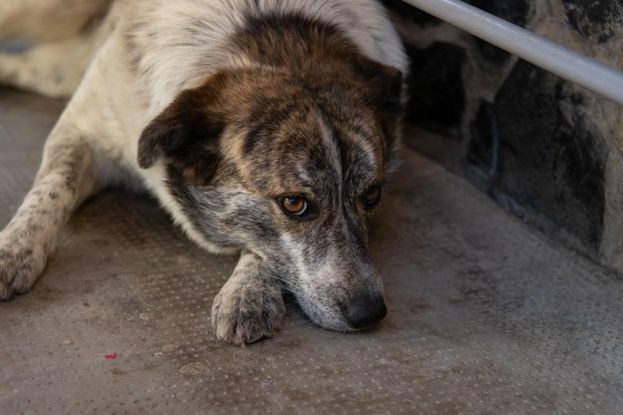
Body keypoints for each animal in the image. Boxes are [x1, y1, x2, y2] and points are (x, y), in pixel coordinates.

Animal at [0, 0, 408, 344]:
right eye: (294, 203)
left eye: (373, 196)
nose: (370, 313)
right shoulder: (81, 131)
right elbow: (53, 187)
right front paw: (12, 251)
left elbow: (261, 245)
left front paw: (249, 292)